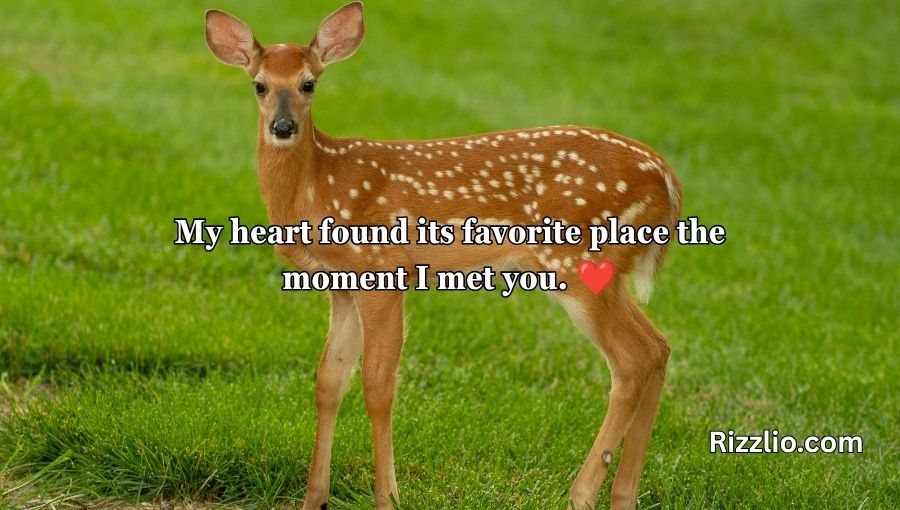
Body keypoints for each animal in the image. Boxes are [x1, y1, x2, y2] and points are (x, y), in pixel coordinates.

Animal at [204, 3, 681, 509]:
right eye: (259, 84)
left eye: (309, 83)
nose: (283, 127)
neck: (318, 187)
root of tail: (669, 183)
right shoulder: (341, 283)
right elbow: (329, 380)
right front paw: (315, 498)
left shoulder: (381, 267)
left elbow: (378, 385)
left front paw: (388, 496)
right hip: (604, 270)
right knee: (657, 348)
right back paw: (623, 496)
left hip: (576, 260)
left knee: (632, 360)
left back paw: (582, 493)